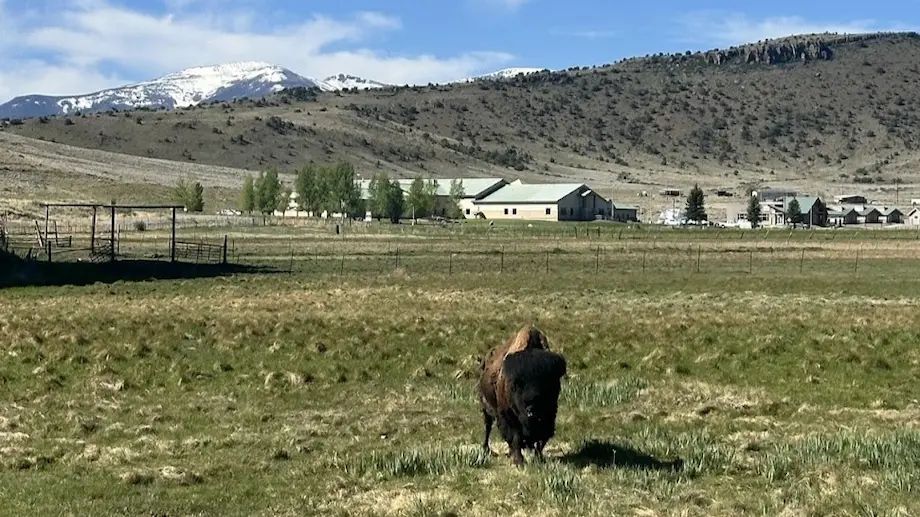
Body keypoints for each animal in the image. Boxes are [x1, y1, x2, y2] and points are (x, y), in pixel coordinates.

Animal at [479, 326, 567, 466]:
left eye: (549, 383)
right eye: (516, 385)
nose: (532, 408)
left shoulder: (549, 416)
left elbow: (541, 440)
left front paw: (538, 459)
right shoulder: (509, 417)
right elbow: (516, 438)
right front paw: (519, 462)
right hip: (486, 408)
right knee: (488, 427)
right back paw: (486, 450)